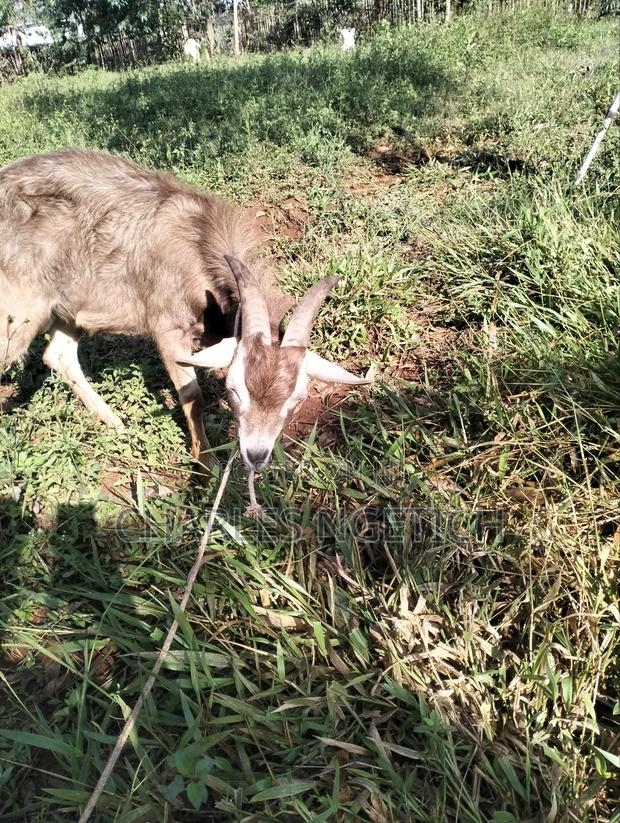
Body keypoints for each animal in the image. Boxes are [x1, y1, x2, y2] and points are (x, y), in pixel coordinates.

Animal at [0, 149, 370, 471]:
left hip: (66, 308)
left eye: (295, 399)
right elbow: (192, 394)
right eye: (234, 390)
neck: (199, 240)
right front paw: (206, 462)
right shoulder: (168, 326)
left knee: (57, 354)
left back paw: (115, 422)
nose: (256, 454)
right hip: (19, 312)